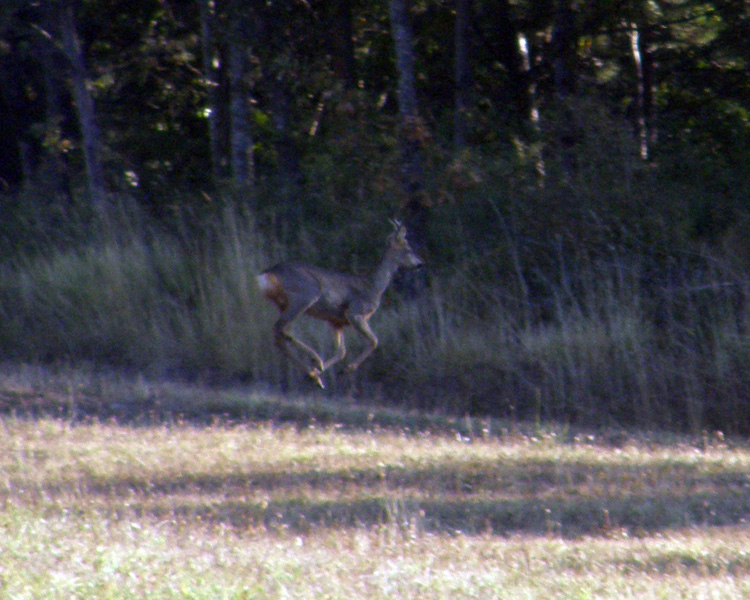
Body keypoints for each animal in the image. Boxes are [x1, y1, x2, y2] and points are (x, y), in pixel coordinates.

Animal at [258, 220, 424, 390]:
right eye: (408, 248)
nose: (420, 264)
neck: (373, 287)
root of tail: (268, 274)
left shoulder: (336, 322)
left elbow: (341, 351)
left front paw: (319, 372)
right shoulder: (354, 313)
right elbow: (374, 341)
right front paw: (346, 370)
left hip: (284, 304)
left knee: (279, 336)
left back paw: (314, 375)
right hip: (306, 295)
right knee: (280, 329)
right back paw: (315, 360)